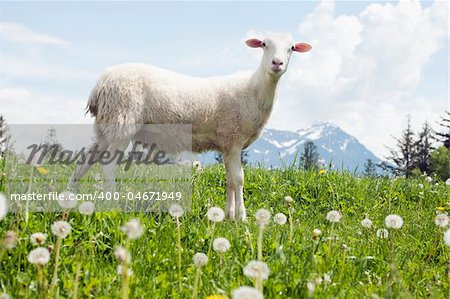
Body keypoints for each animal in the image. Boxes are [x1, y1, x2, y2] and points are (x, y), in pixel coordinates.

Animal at [68, 33, 312, 220]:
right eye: (263, 44)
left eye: (291, 48)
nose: (277, 63)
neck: (254, 89)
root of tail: (100, 85)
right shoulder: (233, 139)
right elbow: (239, 179)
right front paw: (242, 217)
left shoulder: (227, 144)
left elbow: (230, 180)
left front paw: (229, 215)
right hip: (122, 121)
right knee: (107, 167)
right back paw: (113, 205)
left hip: (106, 126)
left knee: (86, 161)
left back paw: (69, 197)